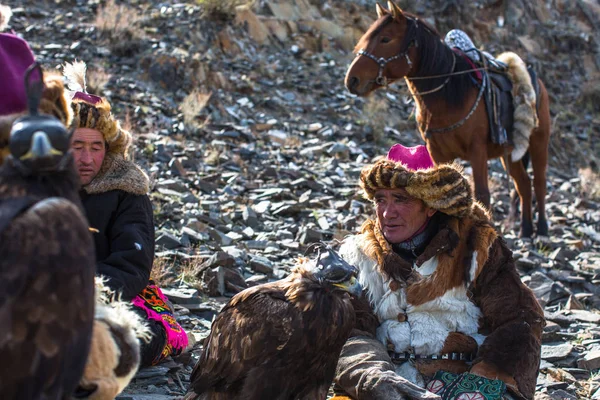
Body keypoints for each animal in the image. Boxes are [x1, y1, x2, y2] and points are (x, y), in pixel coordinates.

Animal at [344, 0, 552, 238]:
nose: (352, 80)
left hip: (538, 142)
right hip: (510, 153)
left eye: (385, 39)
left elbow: (483, 193)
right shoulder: (438, 151)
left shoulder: (477, 150)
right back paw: (525, 230)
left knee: (539, 182)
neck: (449, 94)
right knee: (523, 184)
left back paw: (542, 229)